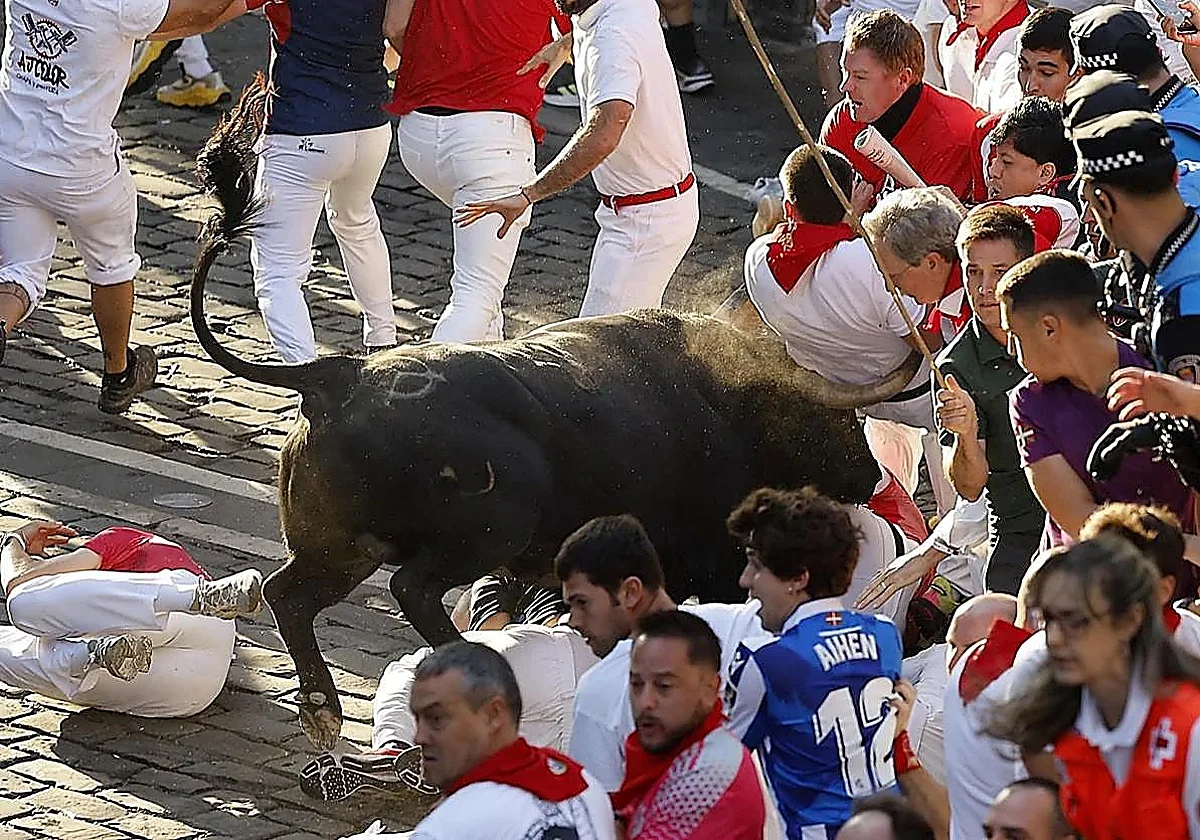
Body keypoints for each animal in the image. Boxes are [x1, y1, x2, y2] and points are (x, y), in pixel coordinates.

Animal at [191, 81, 923, 749]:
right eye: (829, 422)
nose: (872, 478)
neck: (722, 404)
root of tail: (336, 376)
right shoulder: (701, 561)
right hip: (492, 521)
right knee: (412, 587)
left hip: (341, 544)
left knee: (290, 593)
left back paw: (322, 705)